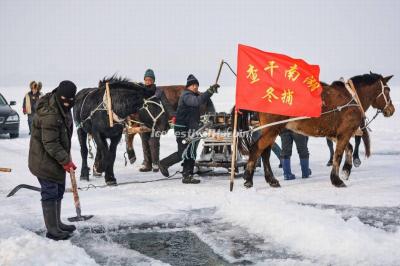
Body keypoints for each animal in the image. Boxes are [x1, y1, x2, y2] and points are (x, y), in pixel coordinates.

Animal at [236, 72, 396, 188]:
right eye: (387, 90)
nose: (391, 110)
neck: (352, 98)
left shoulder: (334, 134)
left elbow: (348, 149)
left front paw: (346, 170)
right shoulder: (345, 132)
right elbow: (338, 155)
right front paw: (336, 179)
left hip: (270, 130)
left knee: (265, 153)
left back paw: (271, 180)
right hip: (271, 129)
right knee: (256, 149)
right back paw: (249, 179)